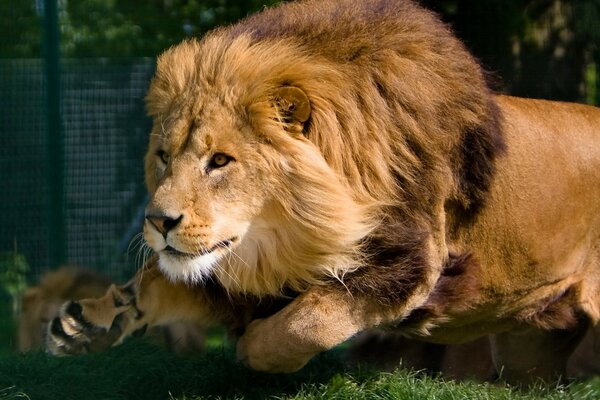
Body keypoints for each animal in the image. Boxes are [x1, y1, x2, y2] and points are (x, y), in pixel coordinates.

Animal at [45, 0, 600, 384]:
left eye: (220, 161)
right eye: (163, 156)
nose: (158, 222)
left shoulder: (414, 260)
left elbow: (310, 318)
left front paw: (254, 346)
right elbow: (159, 282)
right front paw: (89, 322)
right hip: (528, 351)